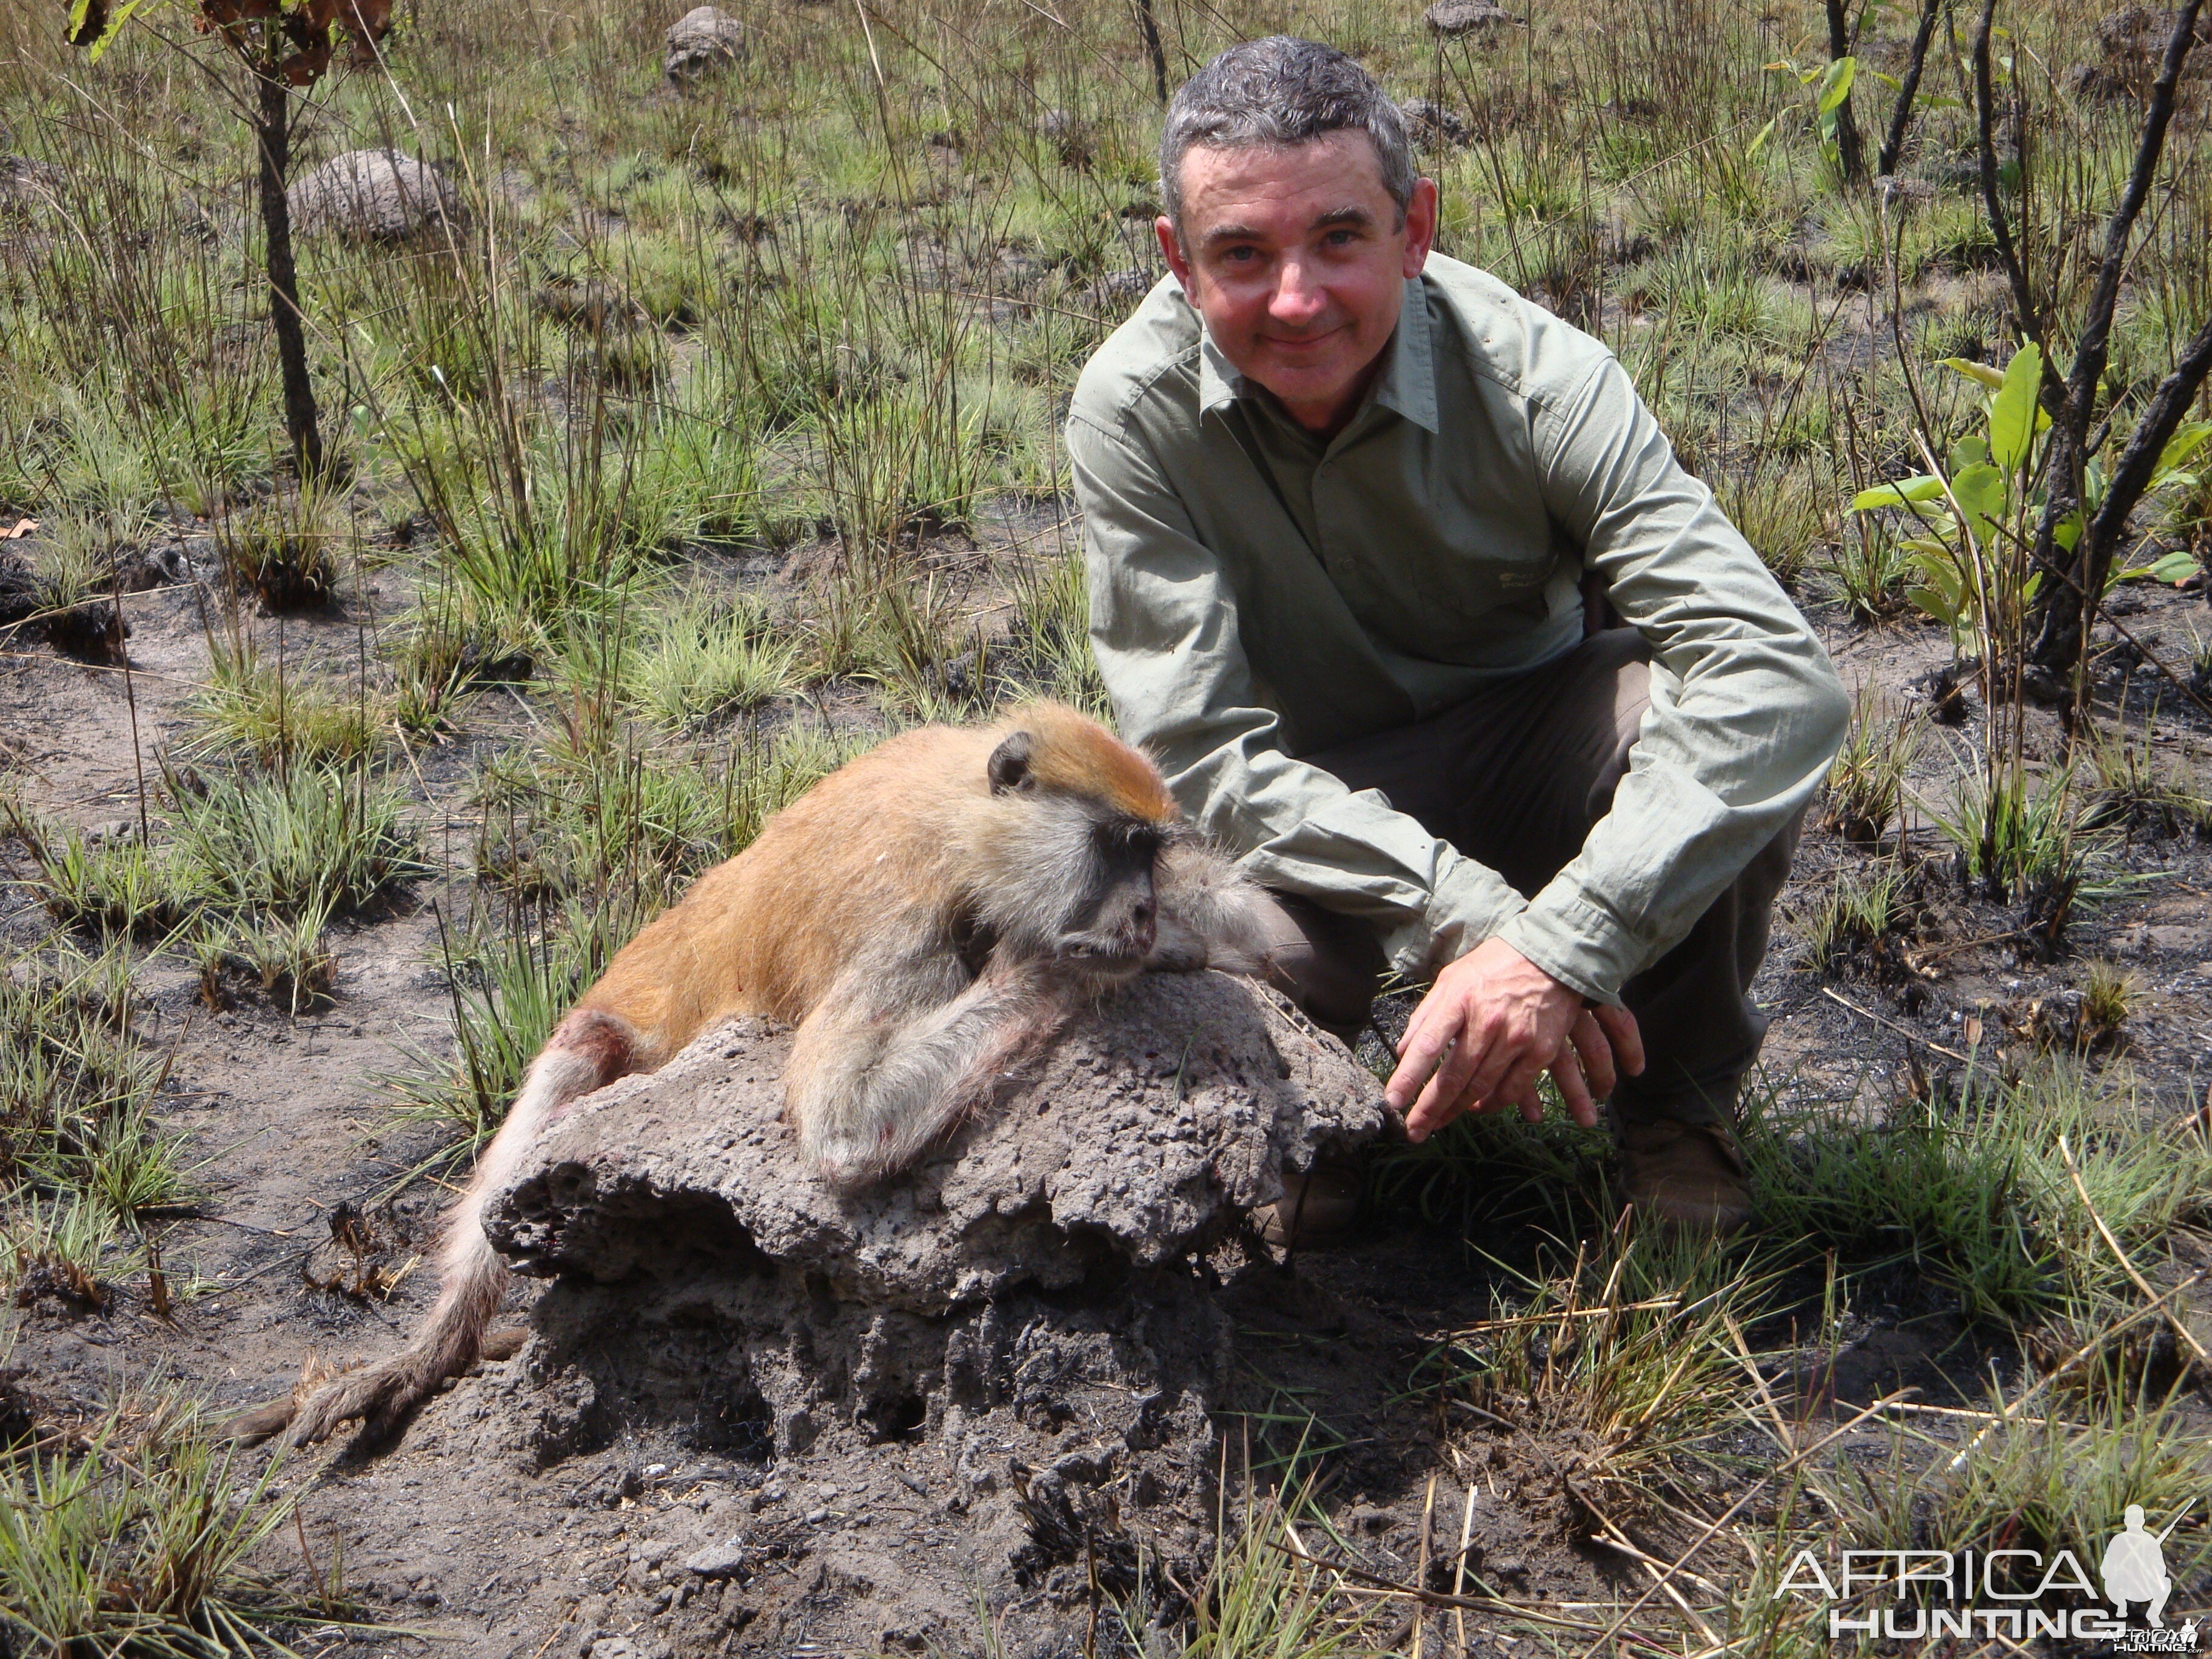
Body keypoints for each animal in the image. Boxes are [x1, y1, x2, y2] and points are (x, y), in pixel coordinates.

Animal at [289, 708, 1292, 1451]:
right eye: (1118, 846)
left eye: (1151, 853)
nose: (1143, 911)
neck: (966, 815)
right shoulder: (908, 922)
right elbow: (845, 1125)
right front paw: (1076, 967)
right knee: (580, 1051)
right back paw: (434, 1349)